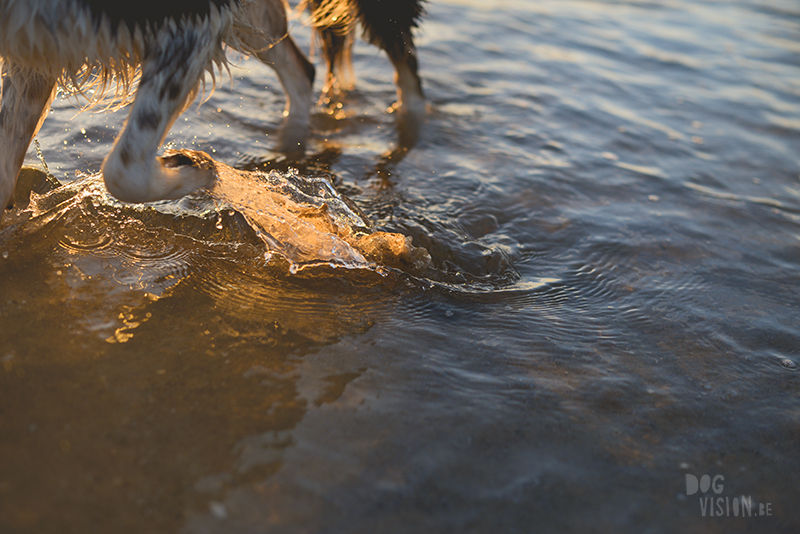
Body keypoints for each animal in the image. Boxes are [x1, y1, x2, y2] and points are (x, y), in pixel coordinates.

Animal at [0, 0, 424, 214]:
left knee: (406, 70)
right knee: (301, 72)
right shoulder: (32, 48)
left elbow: (122, 171)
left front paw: (198, 167)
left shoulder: (192, 21)